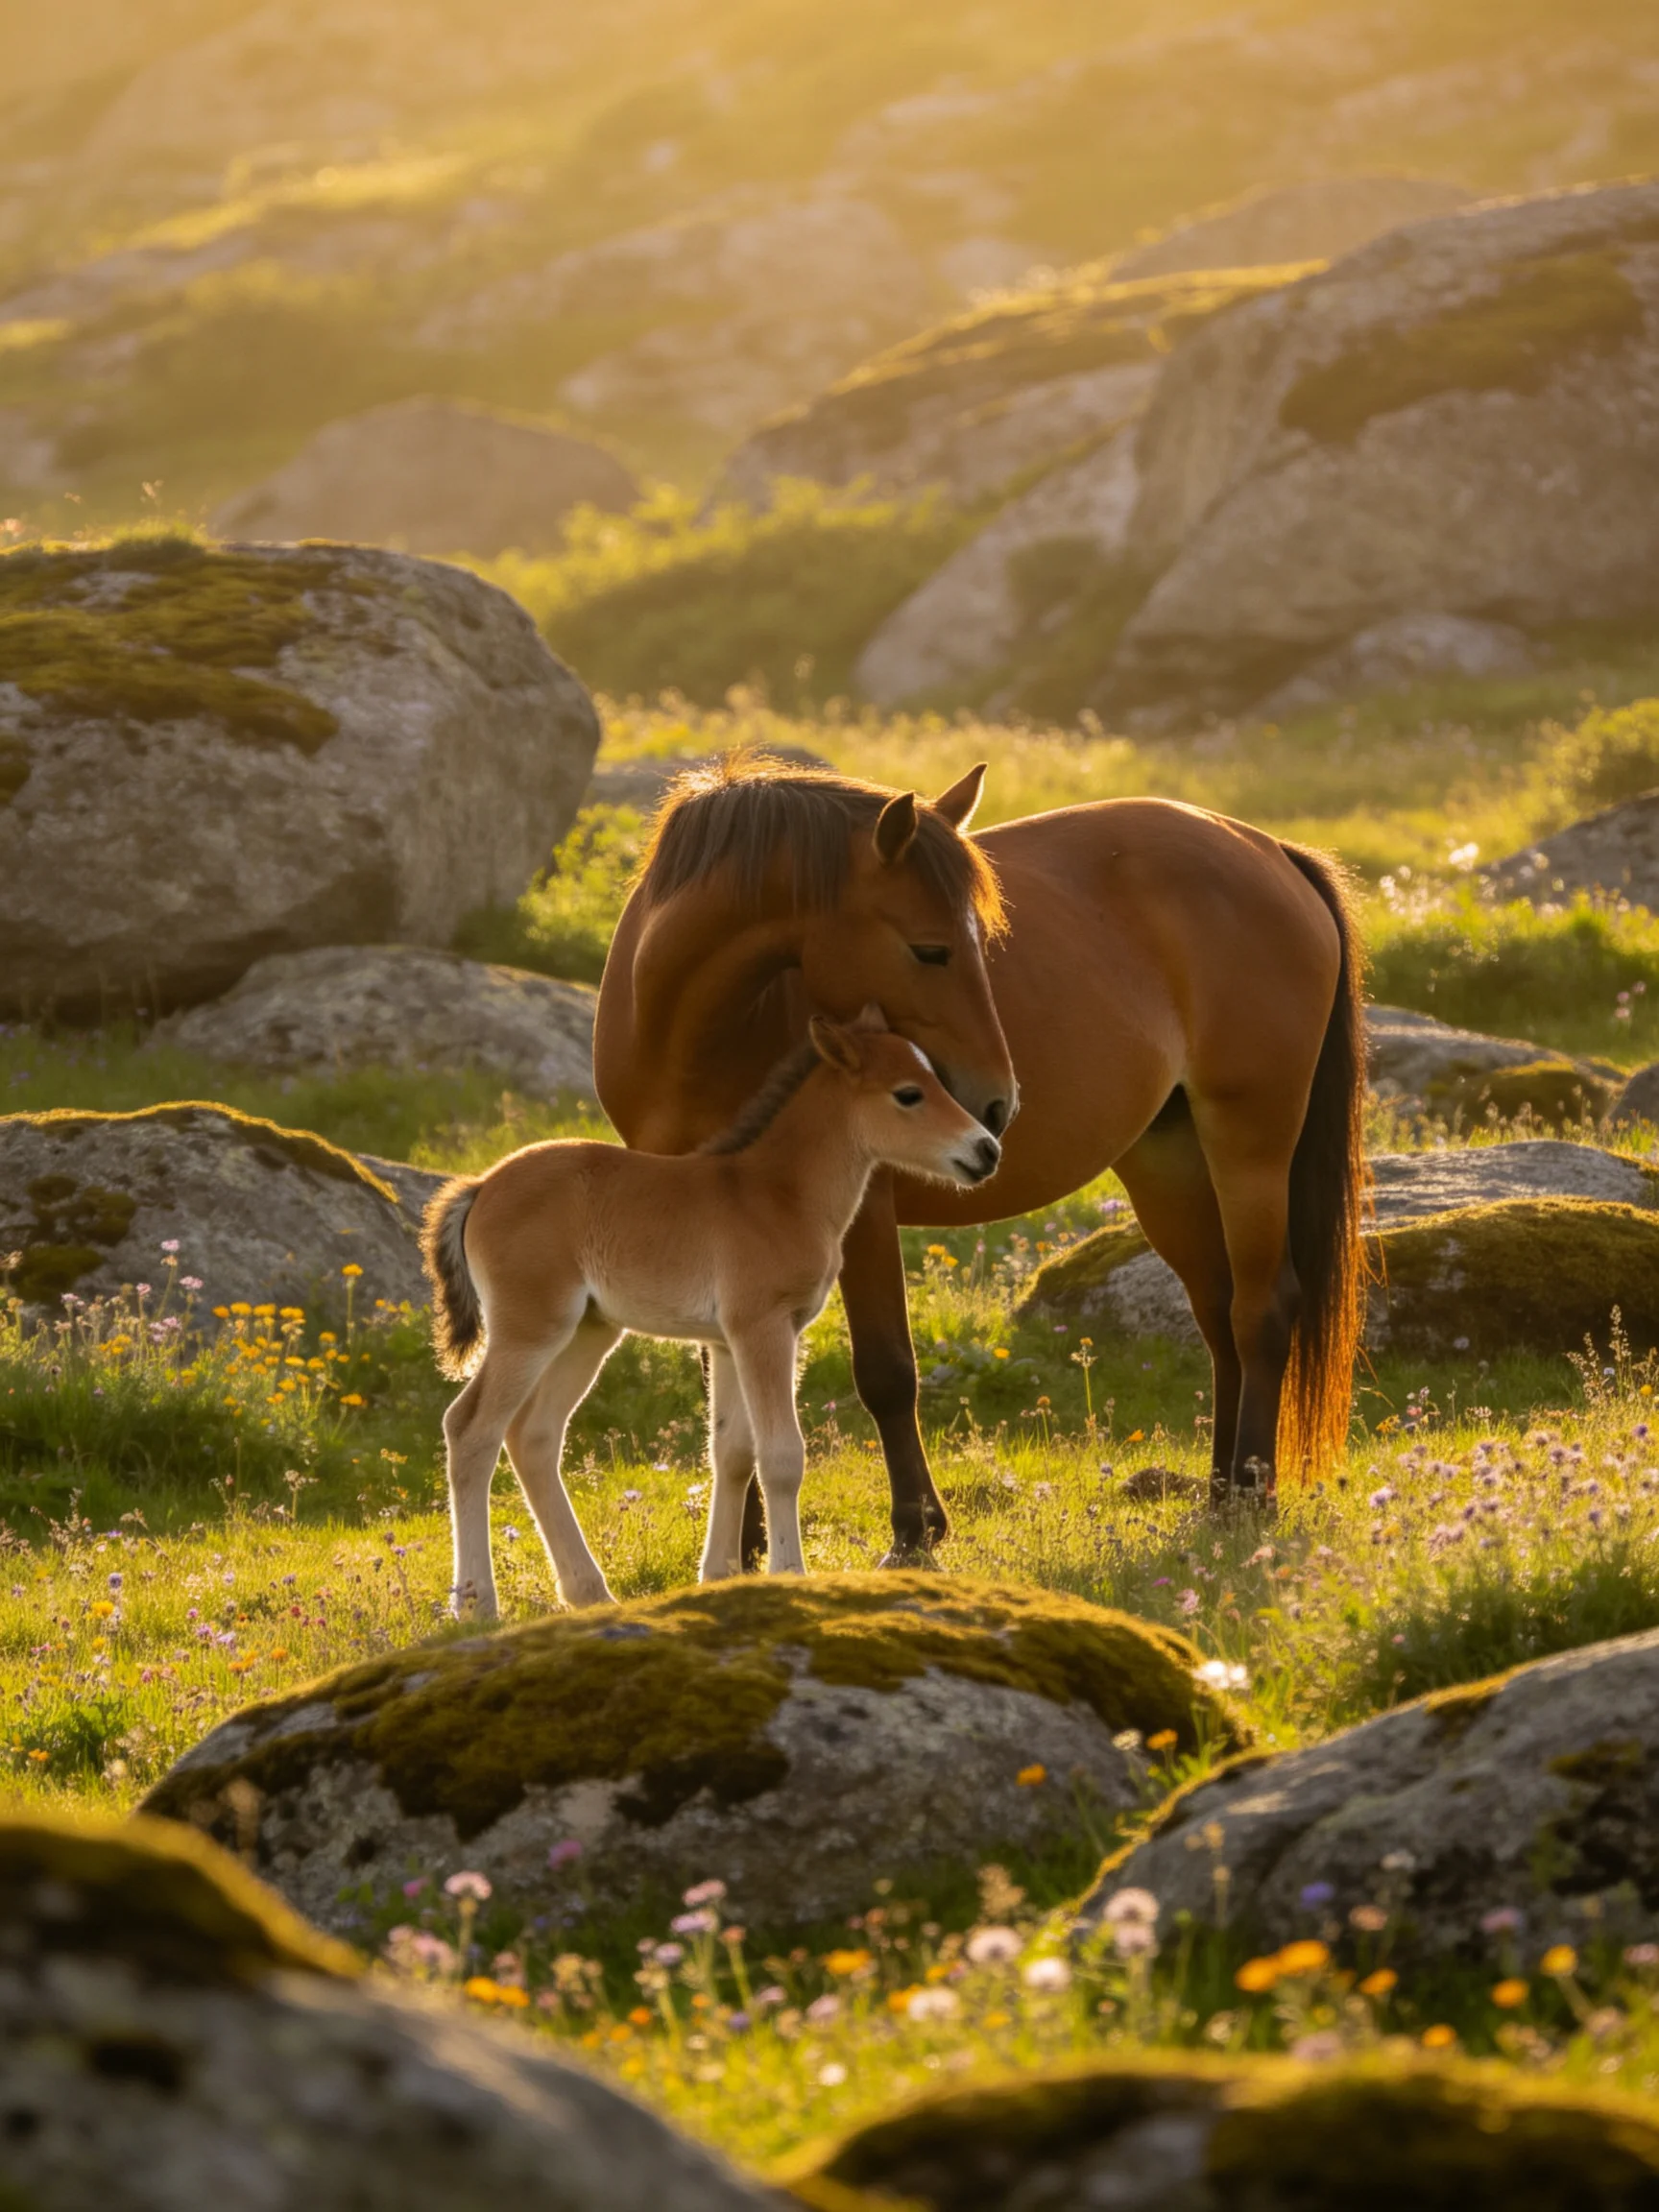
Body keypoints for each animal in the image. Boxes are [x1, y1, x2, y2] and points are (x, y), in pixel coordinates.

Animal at [421, 1007, 1000, 1616]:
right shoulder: (763, 1327)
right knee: (471, 1429)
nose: (987, 1150)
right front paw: (789, 1573)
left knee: (533, 1436)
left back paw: (589, 1592)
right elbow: (781, 1455)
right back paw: (476, 1603)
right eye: (909, 1093)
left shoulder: (728, 1340)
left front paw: (720, 1574)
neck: (777, 1194)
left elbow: (732, 1451)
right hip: (530, 1327)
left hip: (588, 1330)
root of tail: (480, 1186)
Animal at [593, 756, 1367, 1562]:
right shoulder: (705, 1219)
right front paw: (742, 1549)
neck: (690, 1032)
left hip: (1250, 1142)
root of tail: (1272, 851)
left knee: (1261, 1310)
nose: (996, 1105)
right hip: (1168, 1160)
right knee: (1218, 1316)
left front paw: (915, 1531)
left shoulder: (863, 1211)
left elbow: (886, 1372)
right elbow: (729, 1384)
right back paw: (1218, 1496)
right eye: (931, 948)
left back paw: (1251, 1495)